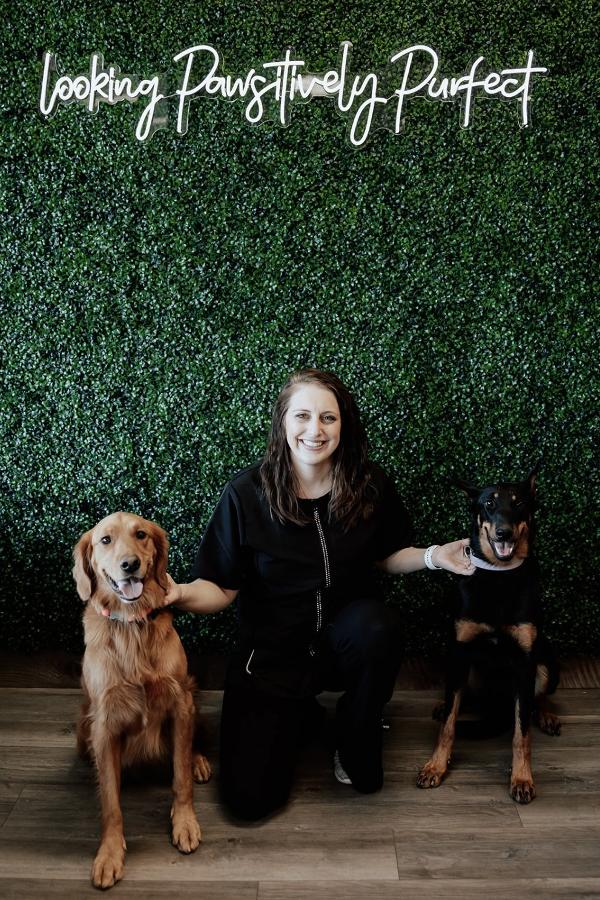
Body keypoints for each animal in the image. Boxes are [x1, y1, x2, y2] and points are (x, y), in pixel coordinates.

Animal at [420, 468, 560, 804]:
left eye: (519, 503)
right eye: (488, 504)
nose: (503, 533)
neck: (500, 575)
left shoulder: (525, 660)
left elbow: (521, 733)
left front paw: (522, 778)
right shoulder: (459, 650)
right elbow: (449, 725)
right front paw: (436, 765)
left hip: (548, 661)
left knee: (536, 698)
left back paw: (546, 714)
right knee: (460, 696)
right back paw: (444, 704)